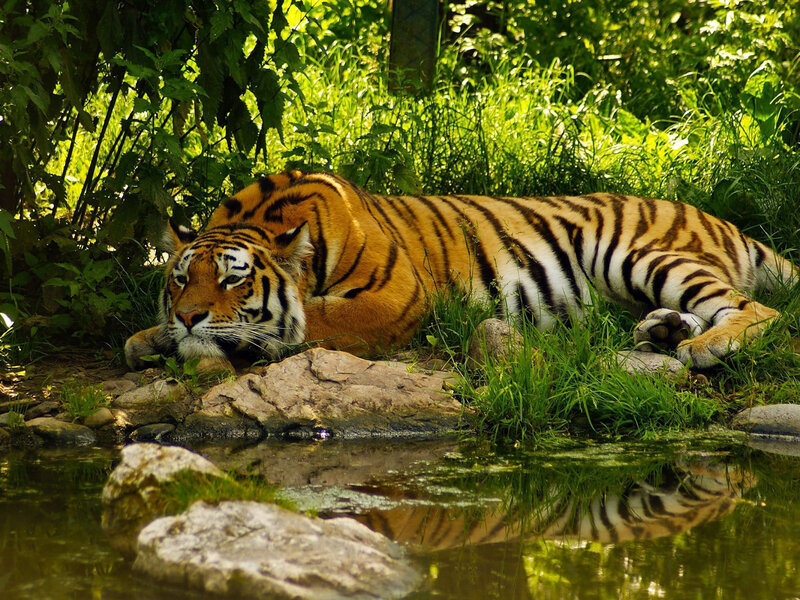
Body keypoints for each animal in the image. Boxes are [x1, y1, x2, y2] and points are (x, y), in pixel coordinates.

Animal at [124, 170, 797, 370]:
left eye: (234, 278)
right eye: (181, 278)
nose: (189, 317)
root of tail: (720, 219)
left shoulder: (394, 297)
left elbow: (310, 320)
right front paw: (149, 337)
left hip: (637, 253)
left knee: (758, 309)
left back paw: (703, 348)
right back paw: (664, 331)